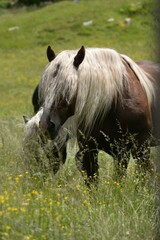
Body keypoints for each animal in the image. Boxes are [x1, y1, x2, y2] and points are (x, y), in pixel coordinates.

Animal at [31, 46, 160, 183]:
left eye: (67, 89)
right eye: (44, 90)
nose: (45, 125)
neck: (116, 102)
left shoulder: (140, 146)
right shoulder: (92, 150)